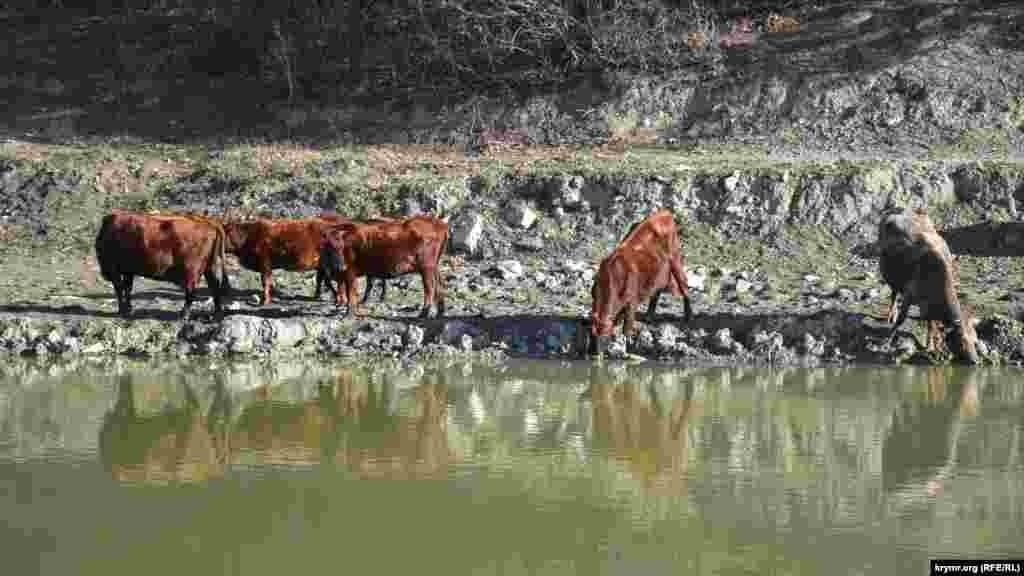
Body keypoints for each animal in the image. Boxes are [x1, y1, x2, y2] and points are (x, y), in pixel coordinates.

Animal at [95, 210, 229, 317]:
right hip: (210, 267)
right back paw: (217, 313)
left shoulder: (114, 270)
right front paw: (128, 309)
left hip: (191, 270)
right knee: (215, 287)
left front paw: (122, 310)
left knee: (191, 291)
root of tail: (208, 222)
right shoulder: (128, 271)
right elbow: (127, 289)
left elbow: (119, 289)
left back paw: (184, 314)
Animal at [319, 214, 448, 315]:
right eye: (329, 247)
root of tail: (439, 223)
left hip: (426, 267)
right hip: (434, 266)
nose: (340, 266)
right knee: (439, 284)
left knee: (429, 288)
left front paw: (348, 312)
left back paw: (424, 312)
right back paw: (440, 310)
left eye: (341, 247)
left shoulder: (350, 272)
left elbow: (351, 293)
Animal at [593, 208, 696, 354]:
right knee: (656, 290)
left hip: (675, 258)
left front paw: (625, 342)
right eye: (593, 336)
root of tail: (665, 213)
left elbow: (627, 326)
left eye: (604, 336)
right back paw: (649, 315)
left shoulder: (632, 300)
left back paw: (688, 315)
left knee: (683, 283)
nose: (596, 354)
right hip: (660, 269)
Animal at [876, 206, 978, 360]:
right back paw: (890, 315)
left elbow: (931, 324)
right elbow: (901, 319)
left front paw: (930, 346)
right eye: (961, 341)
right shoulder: (909, 294)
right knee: (894, 294)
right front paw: (888, 339)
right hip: (891, 277)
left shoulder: (928, 306)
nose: (975, 360)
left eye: (975, 340)